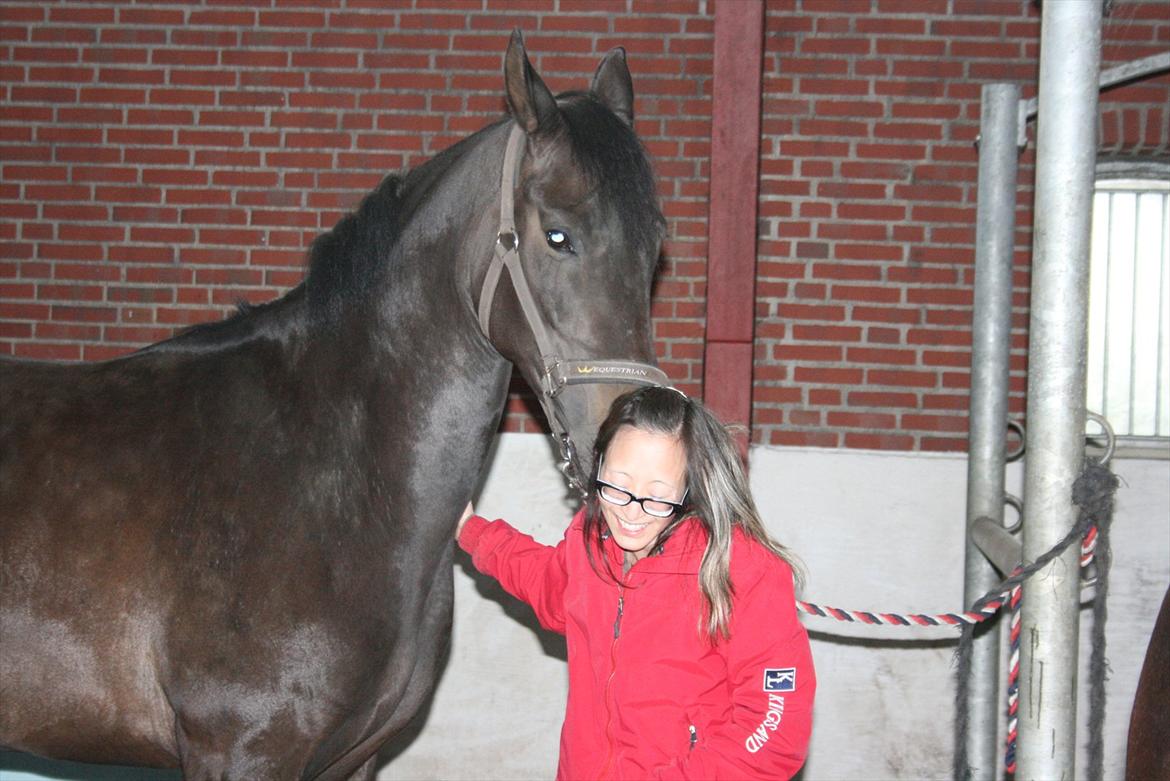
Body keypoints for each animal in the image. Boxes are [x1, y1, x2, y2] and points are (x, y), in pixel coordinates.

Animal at [0, 32, 669, 781]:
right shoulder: (243, 751)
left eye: (655, 247)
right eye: (557, 235)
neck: (335, 473)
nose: (632, 443)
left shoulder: (351, 759)